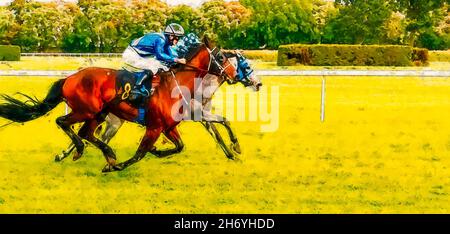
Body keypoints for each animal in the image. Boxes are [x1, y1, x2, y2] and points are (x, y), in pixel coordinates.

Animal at [55, 50, 262, 162]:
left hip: (111, 120)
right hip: (103, 116)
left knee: (96, 136)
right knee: (86, 133)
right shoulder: (196, 114)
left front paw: (232, 152)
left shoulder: (200, 115)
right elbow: (219, 127)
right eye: (246, 65)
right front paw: (234, 150)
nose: (258, 84)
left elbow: (220, 128)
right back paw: (70, 153)